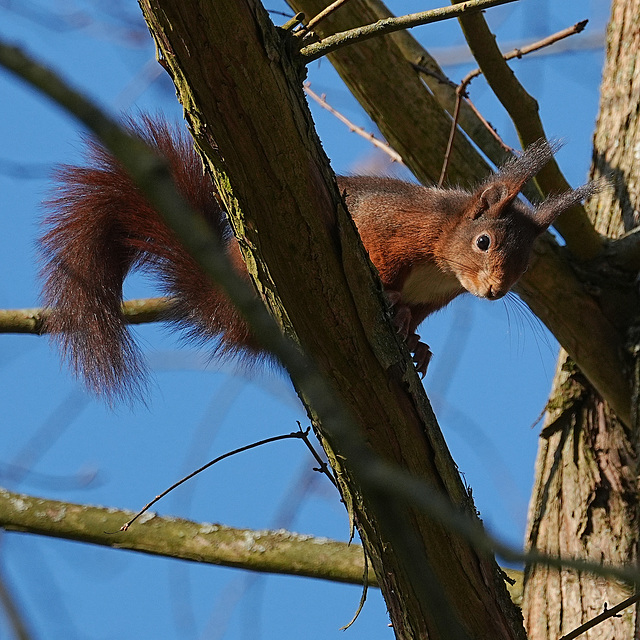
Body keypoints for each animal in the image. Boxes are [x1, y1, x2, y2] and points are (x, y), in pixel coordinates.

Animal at [40, 112, 596, 398]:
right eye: (484, 243)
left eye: (525, 268)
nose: (496, 291)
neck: (441, 258)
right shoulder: (388, 230)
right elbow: (382, 268)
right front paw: (394, 307)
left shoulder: (435, 297)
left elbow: (419, 317)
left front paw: (418, 345)